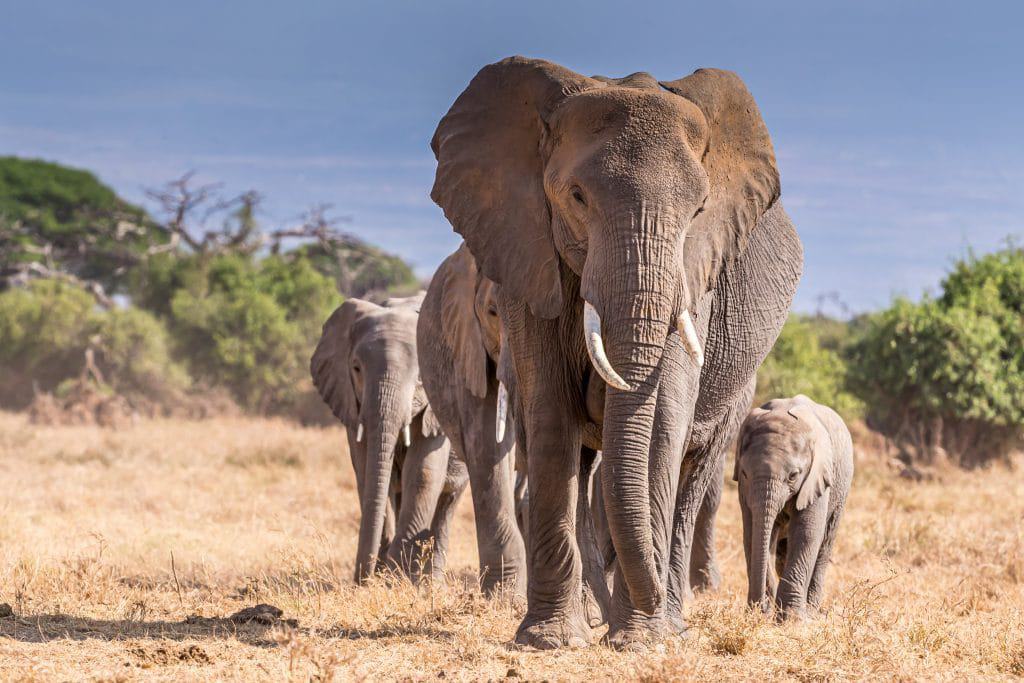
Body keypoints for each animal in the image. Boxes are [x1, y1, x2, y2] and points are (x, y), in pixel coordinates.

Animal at [309, 296, 466, 585]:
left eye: (421, 376)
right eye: (356, 368)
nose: (361, 579)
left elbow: (423, 473)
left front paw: (397, 577)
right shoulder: (352, 401)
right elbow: (368, 472)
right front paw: (386, 575)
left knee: (447, 503)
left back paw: (430, 583)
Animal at [428, 57, 802, 647]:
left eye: (698, 208)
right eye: (577, 197)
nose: (614, 625)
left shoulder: (696, 271)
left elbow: (664, 422)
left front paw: (642, 639)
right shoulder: (527, 250)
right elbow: (550, 411)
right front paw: (551, 640)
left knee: (694, 472)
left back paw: (669, 619)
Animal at [737, 395, 856, 618]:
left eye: (793, 476)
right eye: (745, 473)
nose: (759, 608)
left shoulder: (818, 476)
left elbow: (806, 533)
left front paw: (791, 619)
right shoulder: (743, 488)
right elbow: (752, 534)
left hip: (842, 490)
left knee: (825, 543)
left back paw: (811, 610)